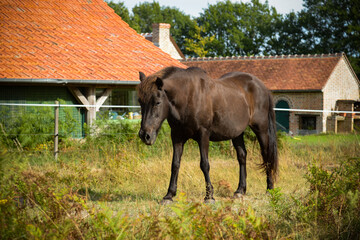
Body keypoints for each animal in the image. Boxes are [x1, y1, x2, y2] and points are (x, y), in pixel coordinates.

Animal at [136, 66, 278, 203]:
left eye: (157, 102)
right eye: (140, 102)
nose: (145, 135)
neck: (188, 96)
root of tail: (261, 86)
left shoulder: (203, 135)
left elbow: (204, 164)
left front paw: (209, 196)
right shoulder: (177, 136)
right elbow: (175, 164)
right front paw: (169, 195)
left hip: (261, 129)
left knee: (266, 155)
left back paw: (270, 190)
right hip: (237, 132)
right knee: (242, 156)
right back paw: (240, 191)